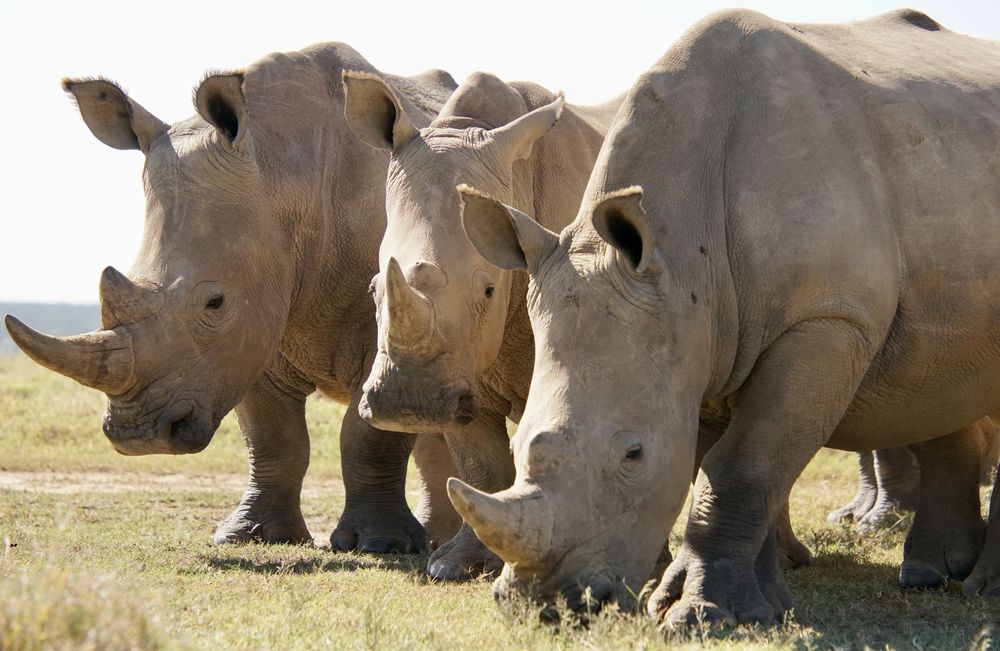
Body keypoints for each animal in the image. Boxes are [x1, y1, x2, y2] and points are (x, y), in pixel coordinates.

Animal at [4, 43, 461, 556]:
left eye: (214, 304)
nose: (139, 435)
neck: (285, 178)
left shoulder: (385, 317)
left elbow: (367, 432)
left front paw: (379, 546)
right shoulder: (255, 321)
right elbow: (272, 435)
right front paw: (252, 535)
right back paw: (438, 540)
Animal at [339, 70, 622, 579]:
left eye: (489, 291)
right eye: (373, 289)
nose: (407, 405)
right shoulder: (461, 379)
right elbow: (479, 463)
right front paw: (454, 566)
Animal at [451, 9, 1000, 625]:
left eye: (634, 454)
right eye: (520, 446)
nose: (543, 604)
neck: (684, 251)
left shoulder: (827, 320)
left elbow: (743, 463)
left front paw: (701, 615)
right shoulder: (702, 330)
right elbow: (720, 463)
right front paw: (751, 606)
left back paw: (979, 589)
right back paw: (933, 575)